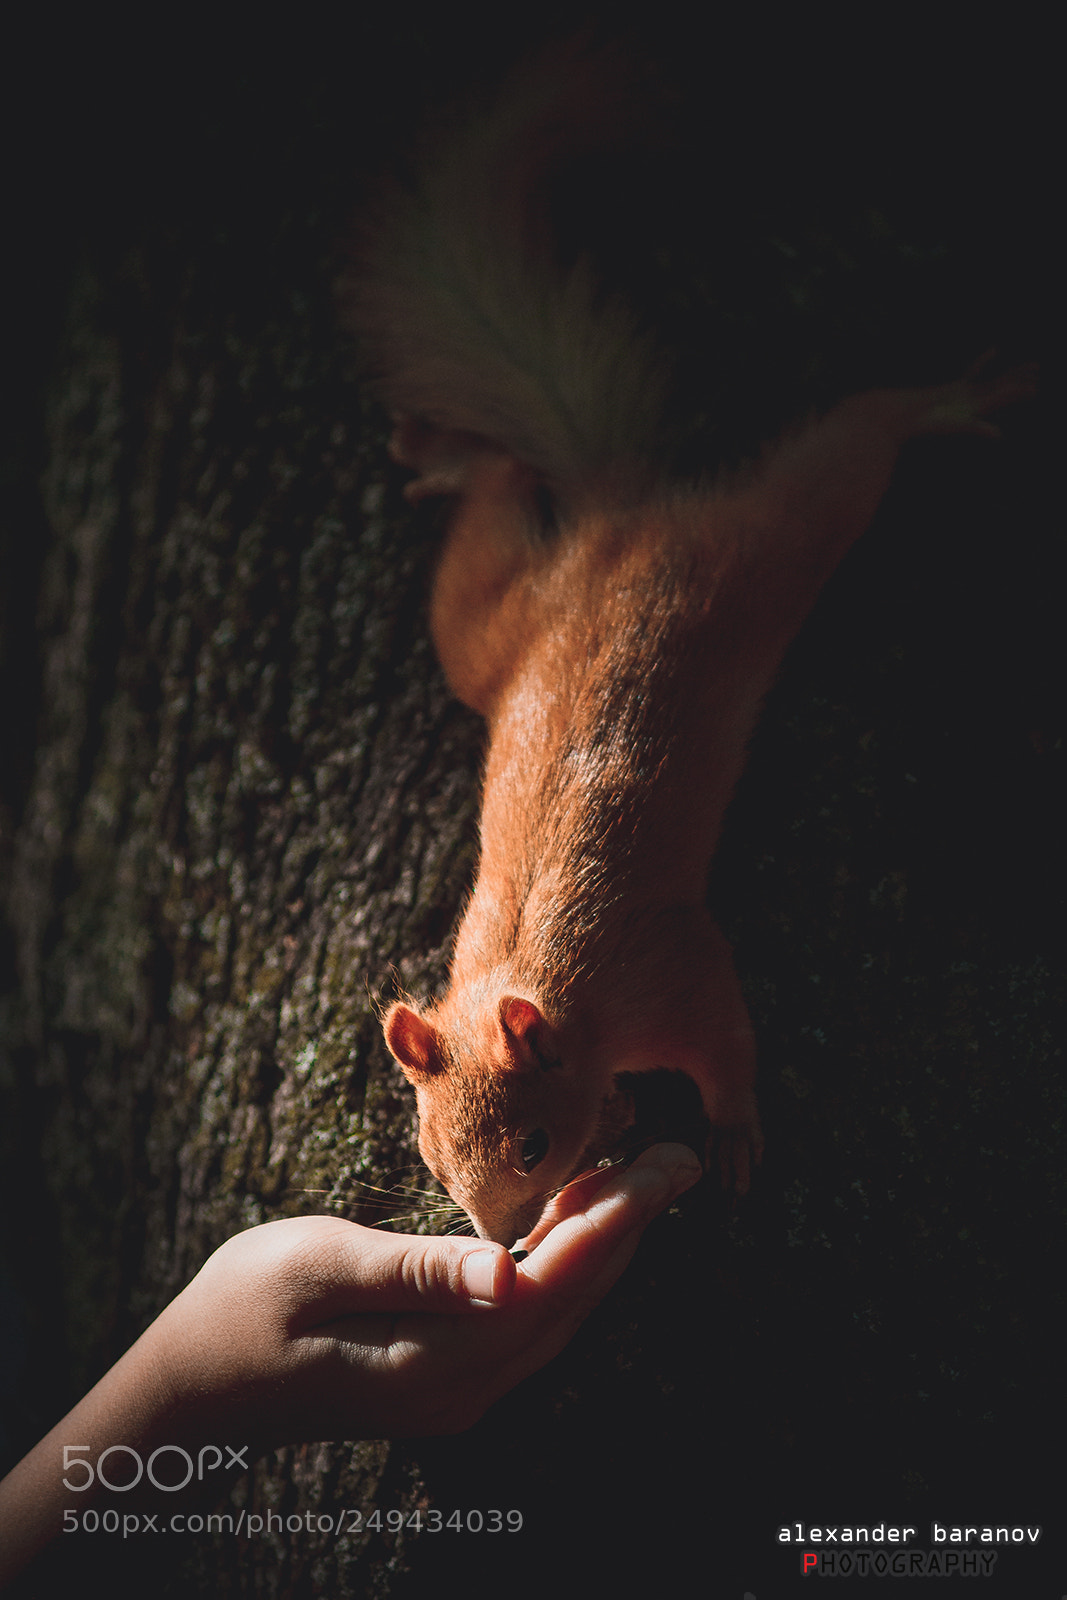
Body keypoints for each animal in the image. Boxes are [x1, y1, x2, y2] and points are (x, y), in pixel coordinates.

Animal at [340, 42, 1037, 1247]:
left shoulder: (671, 971)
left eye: (531, 1143)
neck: (551, 991)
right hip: (486, 631)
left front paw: (733, 1127)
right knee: (495, 493)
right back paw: (449, 453)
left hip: (759, 553)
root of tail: (616, 528)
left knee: (848, 453)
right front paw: (628, 1116)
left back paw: (948, 402)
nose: (502, 1242)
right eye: (430, 1154)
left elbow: (727, 1038)